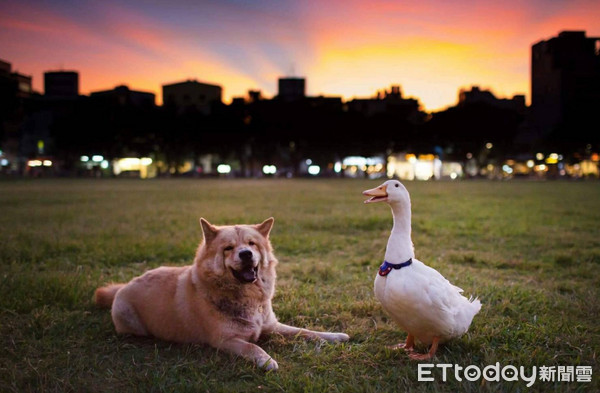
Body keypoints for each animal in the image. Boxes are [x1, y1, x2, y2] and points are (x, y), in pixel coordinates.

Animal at [95, 216, 350, 370]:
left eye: (252, 244)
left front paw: (334, 336)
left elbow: (305, 331)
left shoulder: (272, 326)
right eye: (228, 248)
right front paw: (267, 361)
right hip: (131, 321)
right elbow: (253, 346)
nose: (246, 254)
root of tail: (126, 284)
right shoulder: (225, 340)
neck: (246, 297)